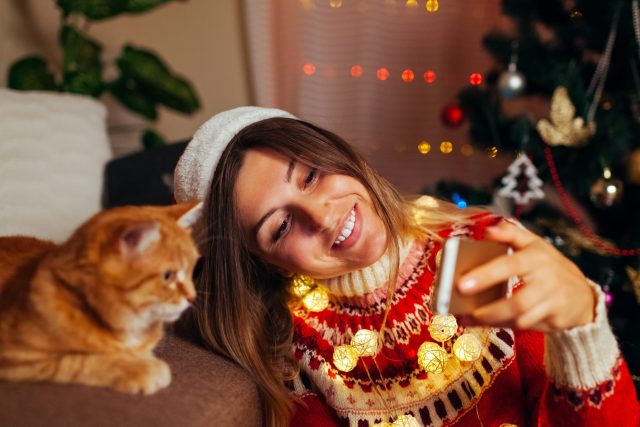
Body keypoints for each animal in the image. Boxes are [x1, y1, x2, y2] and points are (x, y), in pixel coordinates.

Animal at [0, 202, 201, 396]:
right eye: (168, 276)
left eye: (191, 271)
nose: (193, 297)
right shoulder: (17, 356)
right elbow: (79, 361)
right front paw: (138, 368)